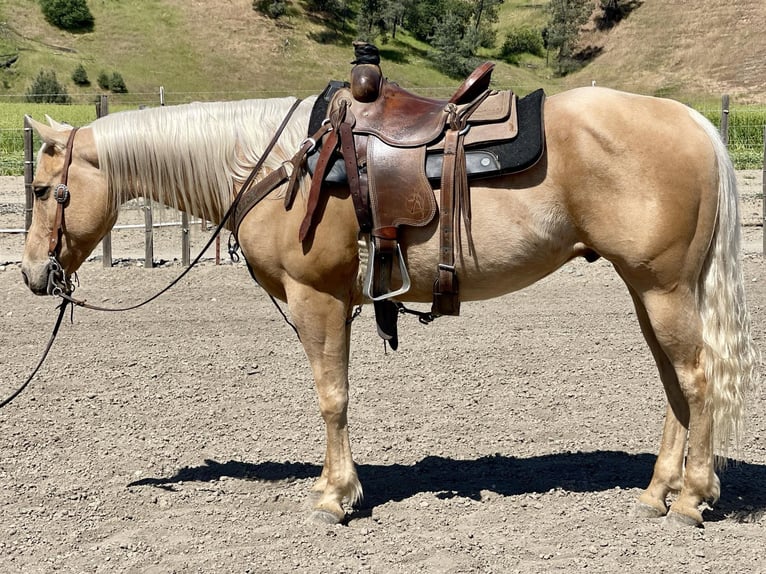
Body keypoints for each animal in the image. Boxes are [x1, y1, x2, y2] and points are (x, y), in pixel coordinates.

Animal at [21, 88, 760, 528]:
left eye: (41, 189)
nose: (31, 273)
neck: (279, 166)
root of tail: (693, 121)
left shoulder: (317, 299)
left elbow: (332, 396)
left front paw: (335, 496)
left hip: (661, 288)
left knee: (696, 379)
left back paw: (693, 498)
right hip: (650, 289)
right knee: (675, 383)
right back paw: (657, 491)